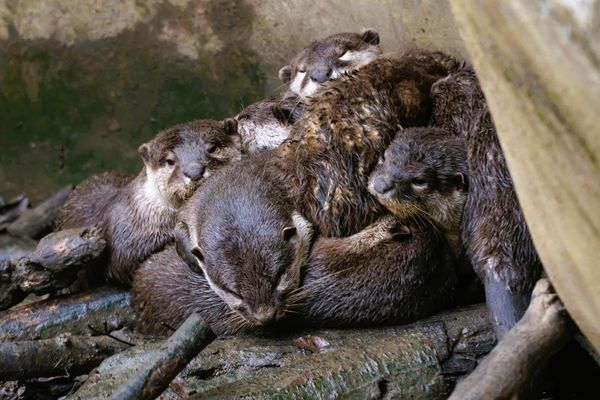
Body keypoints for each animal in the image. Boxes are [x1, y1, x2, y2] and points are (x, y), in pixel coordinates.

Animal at [55, 117, 240, 286]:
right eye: (170, 161)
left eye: (213, 148)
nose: (194, 172)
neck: (144, 213)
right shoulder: (121, 243)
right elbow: (121, 266)